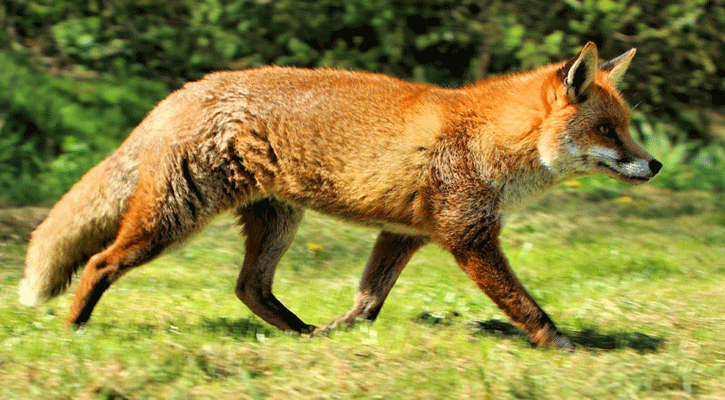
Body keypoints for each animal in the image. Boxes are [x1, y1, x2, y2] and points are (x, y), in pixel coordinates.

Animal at [19, 43, 660, 350]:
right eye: (609, 130)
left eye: (628, 127)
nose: (653, 164)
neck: (488, 137)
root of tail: (184, 90)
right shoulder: (468, 235)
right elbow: (526, 306)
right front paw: (562, 345)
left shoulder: (404, 235)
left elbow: (368, 300)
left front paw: (342, 334)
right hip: (177, 216)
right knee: (100, 263)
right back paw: (74, 330)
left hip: (277, 222)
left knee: (249, 288)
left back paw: (301, 334)